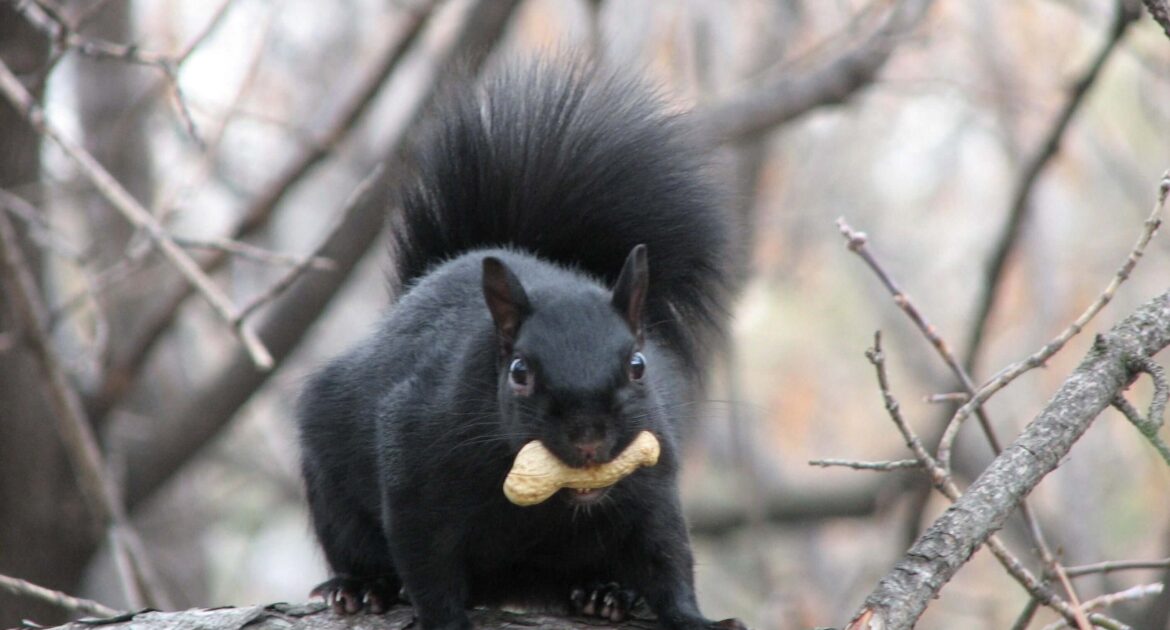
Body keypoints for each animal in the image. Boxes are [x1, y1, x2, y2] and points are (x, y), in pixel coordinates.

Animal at [297, 58, 744, 627]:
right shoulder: (414, 464)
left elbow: (666, 556)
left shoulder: (652, 480)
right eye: (519, 373)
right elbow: (427, 565)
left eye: (639, 365)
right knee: (354, 540)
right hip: (331, 483)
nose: (589, 438)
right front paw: (443, 620)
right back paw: (362, 586)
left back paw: (605, 592)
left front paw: (693, 616)